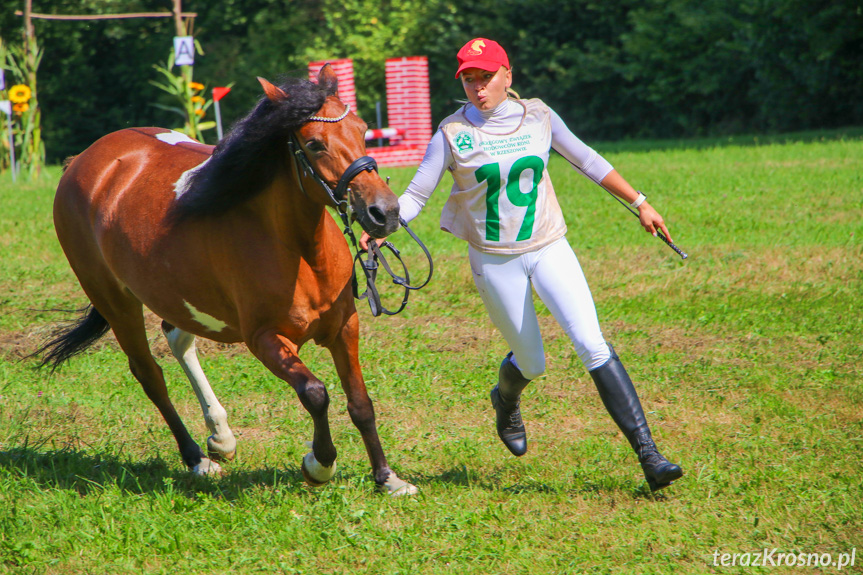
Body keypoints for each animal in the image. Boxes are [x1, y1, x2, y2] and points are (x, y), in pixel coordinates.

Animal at [35, 63, 420, 496]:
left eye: (362, 129)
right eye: (315, 144)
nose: (384, 212)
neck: (301, 253)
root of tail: (83, 160)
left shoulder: (344, 327)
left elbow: (361, 402)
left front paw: (387, 478)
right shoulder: (265, 339)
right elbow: (316, 394)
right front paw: (318, 464)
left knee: (177, 337)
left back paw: (220, 436)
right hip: (116, 302)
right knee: (150, 374)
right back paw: (197, 459)